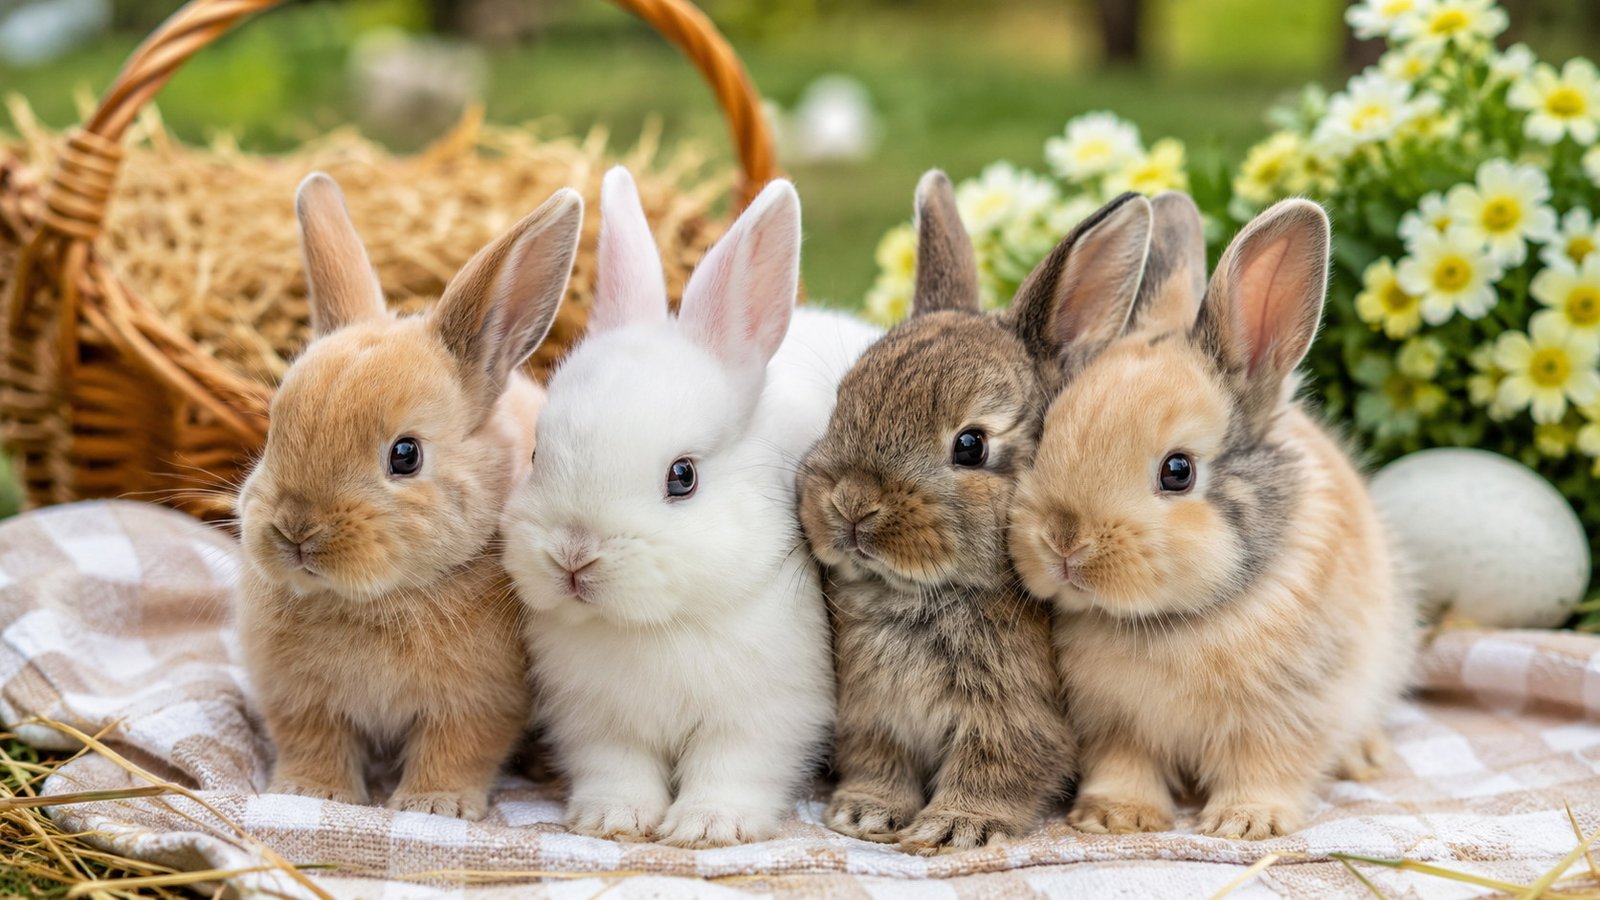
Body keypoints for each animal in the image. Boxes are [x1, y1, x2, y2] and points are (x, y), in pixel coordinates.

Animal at [236, 172, 583, 820]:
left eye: (406, 455)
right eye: (274, 429)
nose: (296, 530)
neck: (371, 601)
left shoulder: (477, 702)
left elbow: (457, 750)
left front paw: (432, 806)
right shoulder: (299, 698)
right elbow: (313, 742)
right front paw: (308, 793)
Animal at [499, 166, 880, 849]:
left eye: (683, 476)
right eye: (538, 453)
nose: (573, 556)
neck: (653, 626)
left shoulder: (764, 715)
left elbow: (732, 769)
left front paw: (708, 828)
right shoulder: (597, 721)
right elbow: (617, 768)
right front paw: (613, 820)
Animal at [796, 171, 1154, 854]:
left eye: (971, 445)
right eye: (841, 403)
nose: (851, 505)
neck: (918, 597)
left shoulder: (1015, 721)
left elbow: (994, 768)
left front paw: (954, 828)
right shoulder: (872, 717)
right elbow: (879, 764)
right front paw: (863, 814)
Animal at [1009, 192, 1419, 840]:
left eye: (1178, 471)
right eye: (1045, 437)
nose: (1064, 543)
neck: (1170, 622)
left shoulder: (1287, 714)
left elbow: (1267, 766)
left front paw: (1247, 823)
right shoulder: (1112, 724)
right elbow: (1123, 765)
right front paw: (1115, 817)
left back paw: (1364, 756)